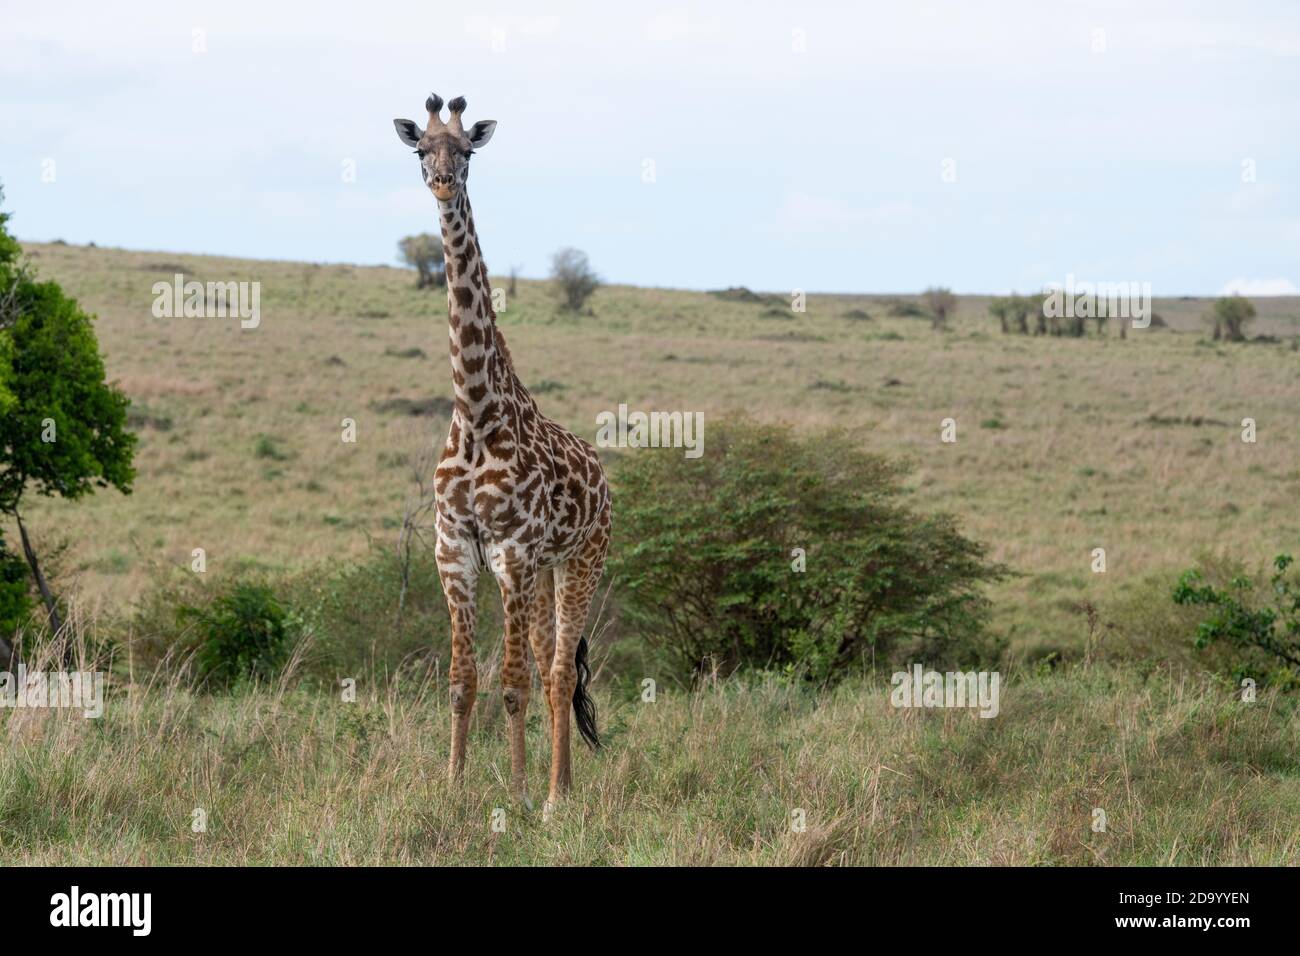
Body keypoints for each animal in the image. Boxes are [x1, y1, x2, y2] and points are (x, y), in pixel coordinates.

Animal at [393, 94, 611, 817]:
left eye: (466, 150)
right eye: (421, 147)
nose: (441, 182)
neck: (476, 412)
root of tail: (605, 479)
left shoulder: (511, 550)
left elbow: (510, 681)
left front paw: (513, 799)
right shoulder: (454, 547)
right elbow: (462, 679)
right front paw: (452, 787)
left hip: (579, 560)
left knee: (555, 670)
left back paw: (552, 799)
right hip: (542, 573)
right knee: (551, 669)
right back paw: (559, 788)